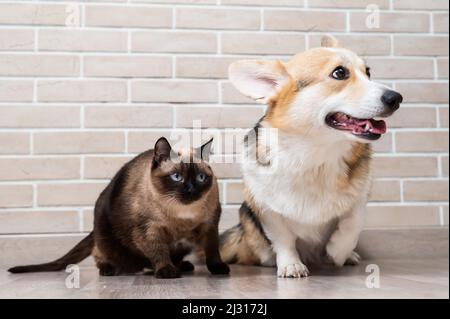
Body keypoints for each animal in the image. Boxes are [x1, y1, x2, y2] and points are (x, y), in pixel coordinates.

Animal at [220, 36, 402, 278]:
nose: (397, 98)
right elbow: (284, 240)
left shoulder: (361, 197)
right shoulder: (267, 209)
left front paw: (337, 252)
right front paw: (291, 265)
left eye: (368, 72)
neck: (318, 154)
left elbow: (352, 224)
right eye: (339, 73)